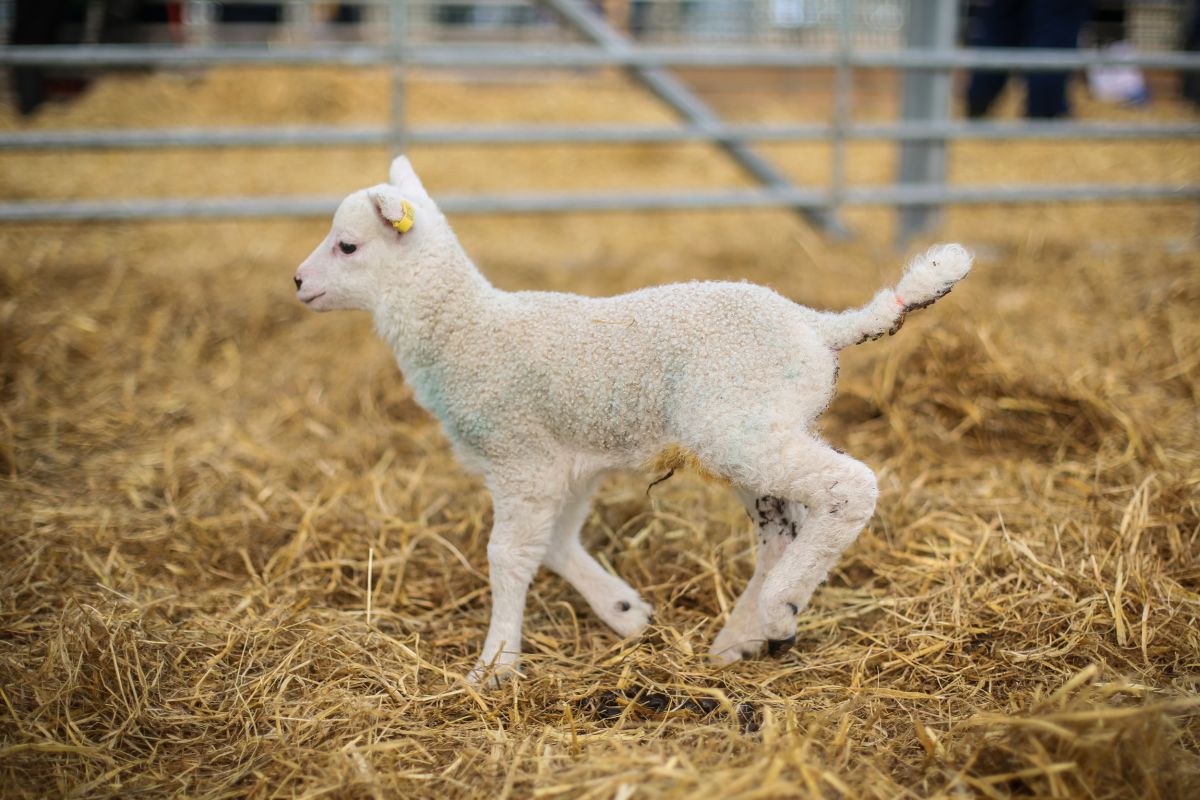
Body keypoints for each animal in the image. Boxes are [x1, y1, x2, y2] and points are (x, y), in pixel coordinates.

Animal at [292, 155, 974, 681]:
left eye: (348, 245)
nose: (297, 281)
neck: (466, 330)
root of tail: (818, 323)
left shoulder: (519, 456)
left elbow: (509, 556)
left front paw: (494, 666)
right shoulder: (564, 463)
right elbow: (556, 543)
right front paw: (624, 612)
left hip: (737, 426)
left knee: (849, 488)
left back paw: (782, 606)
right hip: (765, 424)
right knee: (784, 528)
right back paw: (745, 635)